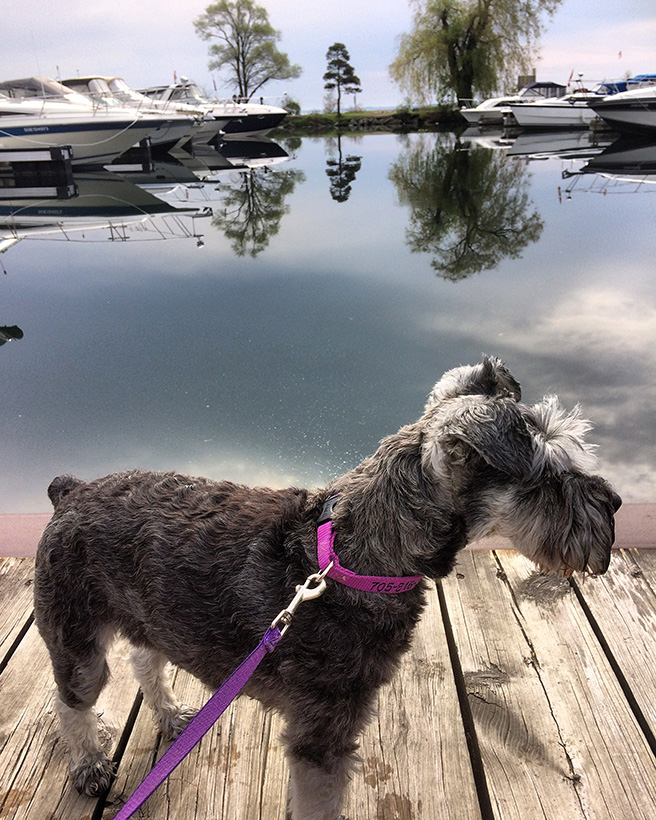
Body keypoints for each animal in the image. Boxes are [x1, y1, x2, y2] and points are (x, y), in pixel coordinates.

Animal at [34, 358, 620, 820]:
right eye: (549, 479)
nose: (613, 503)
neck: (354, 555)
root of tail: (70, 492)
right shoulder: (322, 735)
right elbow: (320, 802)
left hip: (152, 615)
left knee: (145, 658)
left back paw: (173, 713)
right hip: (76, 639)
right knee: (71, 701)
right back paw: (89, 765)